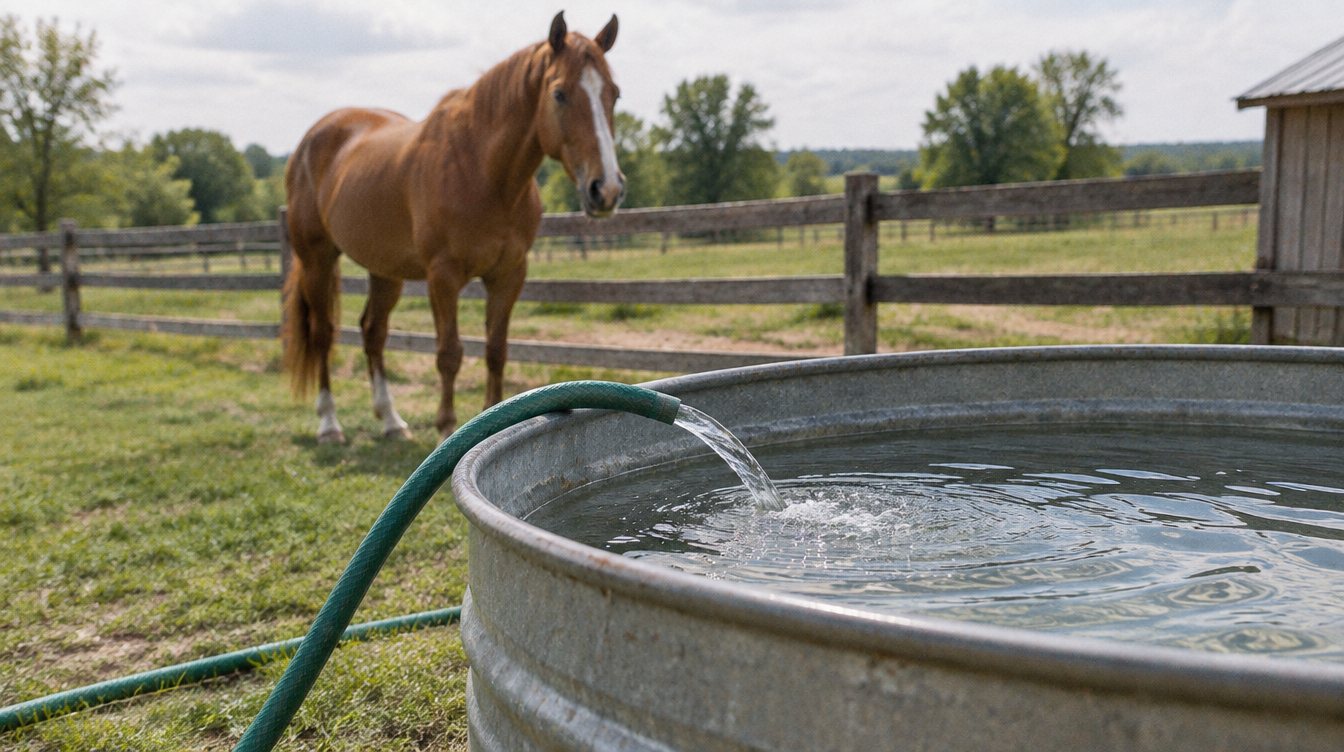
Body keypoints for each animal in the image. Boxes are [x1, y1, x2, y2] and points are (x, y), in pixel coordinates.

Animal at [282, 12, 623, 443]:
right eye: (559, 93)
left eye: (614, 94)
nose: (606, 189)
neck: (482, 172)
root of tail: (309, 142)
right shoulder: (442, 277)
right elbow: (449, 353)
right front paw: (446, 427)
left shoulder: (508, 275)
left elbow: (496, 350)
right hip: (318, 259)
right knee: (323, 333)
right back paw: (329, 424)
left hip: (384, 271)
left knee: (373, 333)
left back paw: (391, 420)